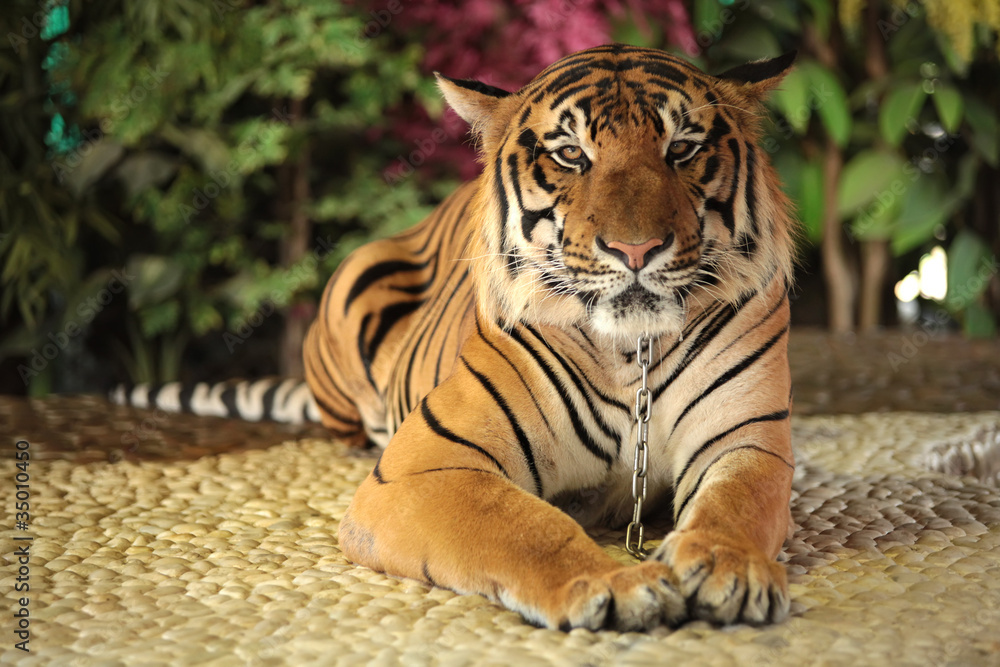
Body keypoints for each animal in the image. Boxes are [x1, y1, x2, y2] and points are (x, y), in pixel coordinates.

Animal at [300, 43, 798, 631]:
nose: (636, 249)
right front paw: (613, 583)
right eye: (570, 155)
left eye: (681, 148)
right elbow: (522, 525)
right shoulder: (426, 465)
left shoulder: (747, 438)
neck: (630, 352)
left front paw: (728, 566)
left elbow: (738, 501)